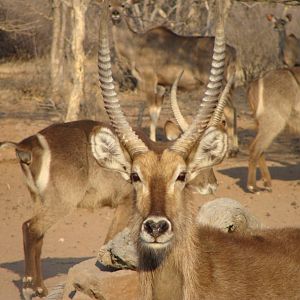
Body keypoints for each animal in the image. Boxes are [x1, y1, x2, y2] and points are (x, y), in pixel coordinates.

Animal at [108, 0, 239, 158]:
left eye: (123, 5)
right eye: (109, 5)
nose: (115, 14)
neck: (136, 44)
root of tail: (231, 51)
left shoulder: (149, 80)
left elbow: (151, 112)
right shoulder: (162, 86)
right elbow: (156, 113)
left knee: (229, 109)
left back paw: (232, 149)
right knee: (233, 108)